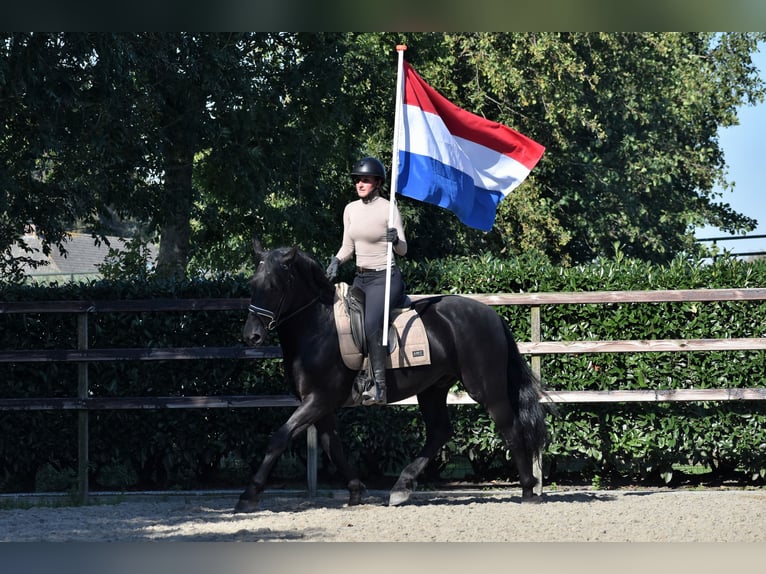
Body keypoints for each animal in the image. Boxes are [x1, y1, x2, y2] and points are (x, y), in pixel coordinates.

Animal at [237, 241, 548, 516]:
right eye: (252, 284)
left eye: (273, 286)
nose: (252, 336)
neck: (318, 325)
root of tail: (491, 315)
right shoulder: (320, 404)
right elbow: (332, 445)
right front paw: (356, 490)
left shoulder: (319, 398)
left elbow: (280, 437)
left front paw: (249, 495)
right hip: (433, 388)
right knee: (440, 432)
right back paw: (401, 487)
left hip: (485, 387)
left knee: (510, 427)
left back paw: (528, 490)